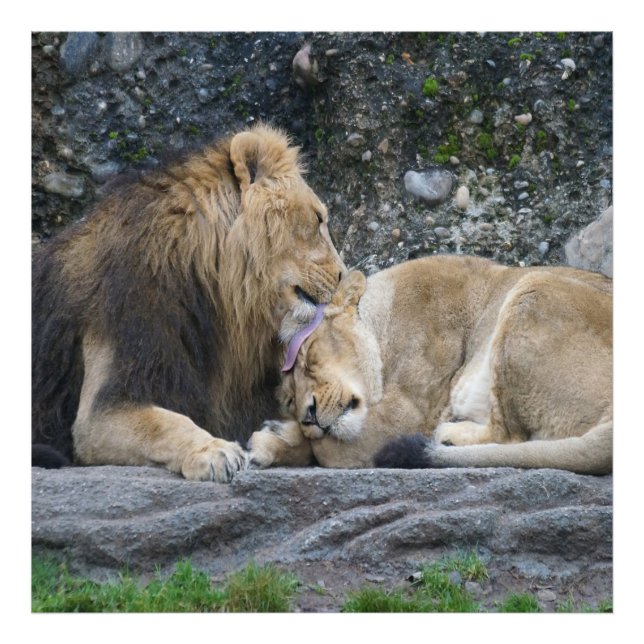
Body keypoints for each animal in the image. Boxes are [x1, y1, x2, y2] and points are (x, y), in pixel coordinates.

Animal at [32, 124, 346, 482]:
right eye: (318, 219)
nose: (343, 275)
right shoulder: (104, 404)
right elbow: (165, 424)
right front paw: (214, 451)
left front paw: (275, 438)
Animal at [248, 254, 612, 475]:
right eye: (290, 399)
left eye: (309, 358)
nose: (308, 416)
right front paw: (275, 439)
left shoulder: (408, 413)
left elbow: (326, 449)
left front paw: (277, 437)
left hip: (533, 287)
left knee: (511, 437)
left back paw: (447, 436)